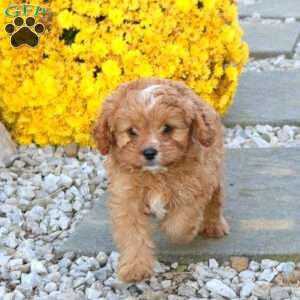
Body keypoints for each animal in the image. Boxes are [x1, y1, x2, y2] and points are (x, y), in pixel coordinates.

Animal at [92, 77, 229, 282]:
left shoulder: (196, 185)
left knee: (215, 200)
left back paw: (214, 226)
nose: (149, 152)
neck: (155, 175)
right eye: (131, 131)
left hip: (215, 169)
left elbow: (179, 223)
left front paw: (181, 228)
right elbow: (132, 234)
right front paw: (135, 268)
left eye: (168, 128)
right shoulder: (126, 197)